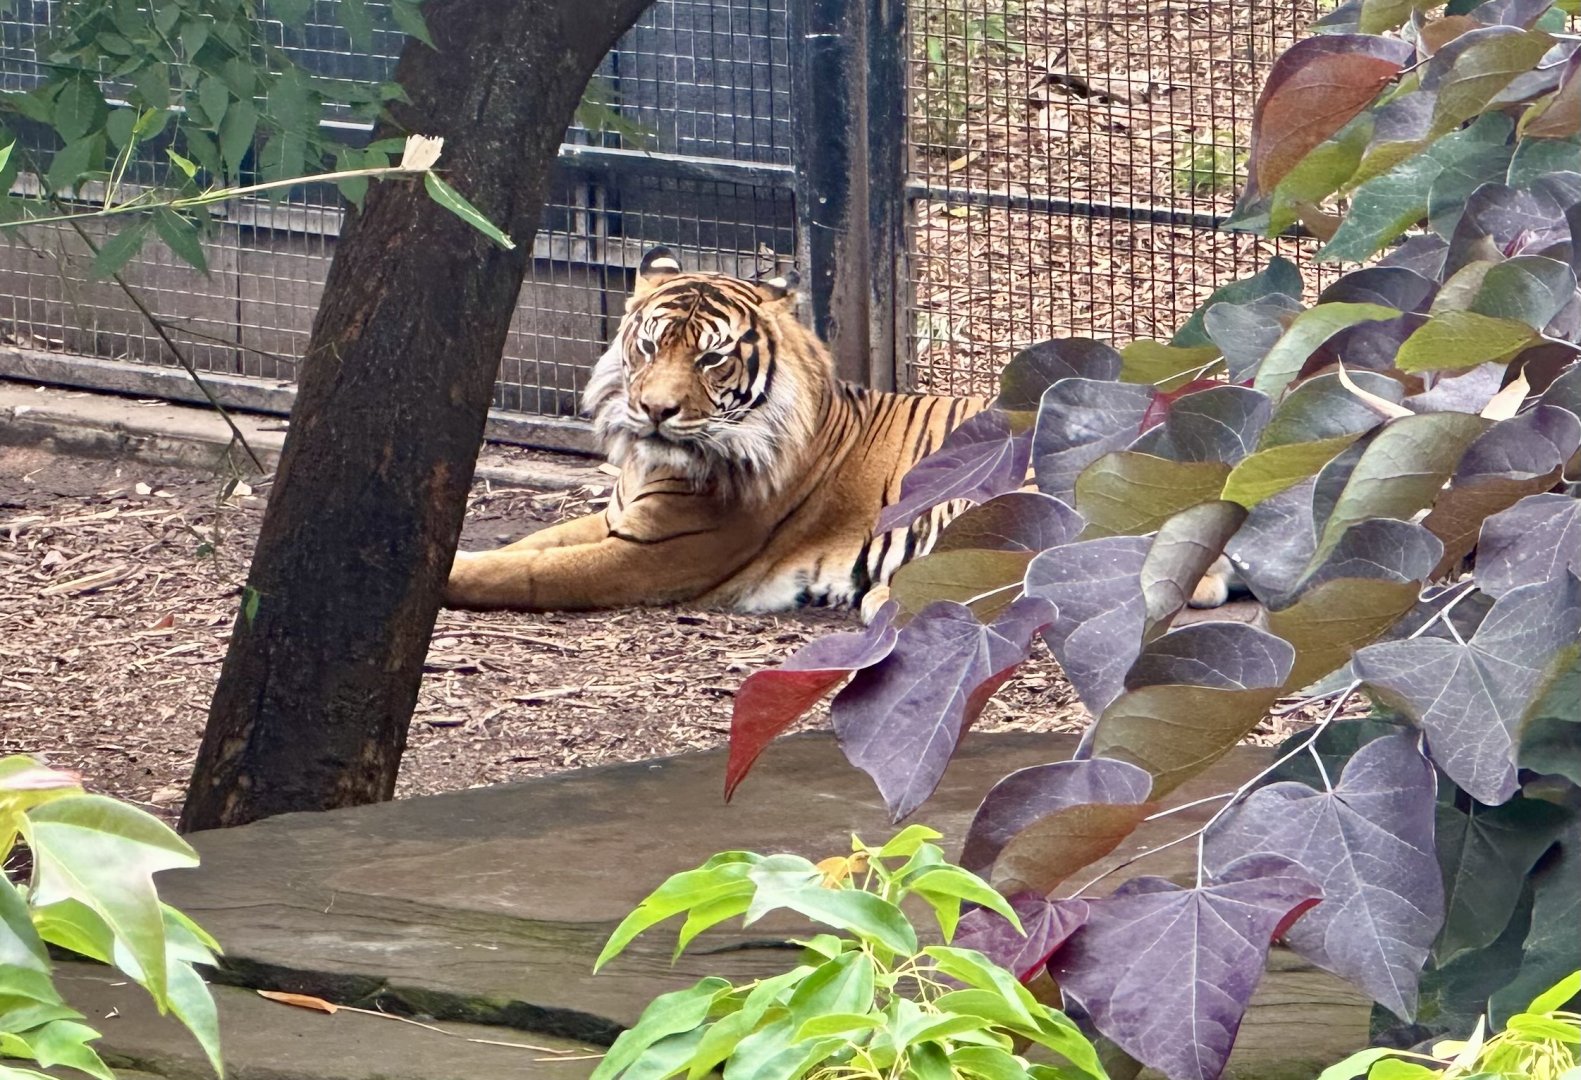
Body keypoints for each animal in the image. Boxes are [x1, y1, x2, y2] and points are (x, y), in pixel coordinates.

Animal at [443, 248, 991, 621]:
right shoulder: (614, 520)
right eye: (649, 346)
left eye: (711, 357)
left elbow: (527, 572)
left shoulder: (650, 552)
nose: (656, 409)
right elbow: (526, 546)